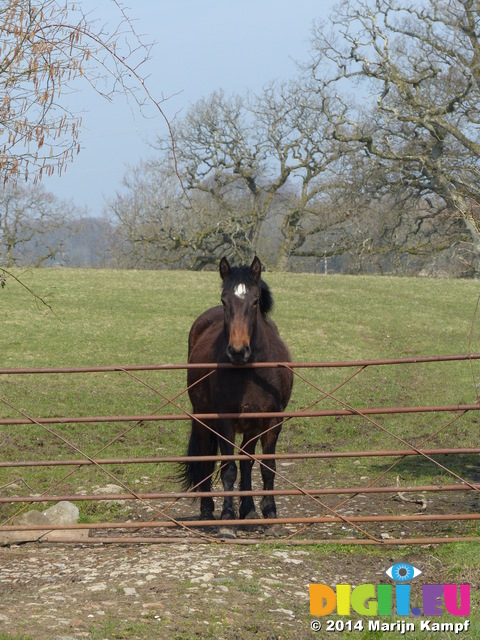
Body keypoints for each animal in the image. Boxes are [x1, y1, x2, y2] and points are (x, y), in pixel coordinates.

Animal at [180, 255, 292, 536]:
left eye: (254, 301)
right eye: (224, 300)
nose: (238, 351)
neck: (251, 371)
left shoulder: (272, 421)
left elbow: (266, 467)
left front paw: (269, 514)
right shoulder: (225, 421)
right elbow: (228, 469)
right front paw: (228, 520)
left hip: (251, 427)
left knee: (246, 462)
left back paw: (249, 511)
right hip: (202, 418)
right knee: (207, 460)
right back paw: (208, 512)